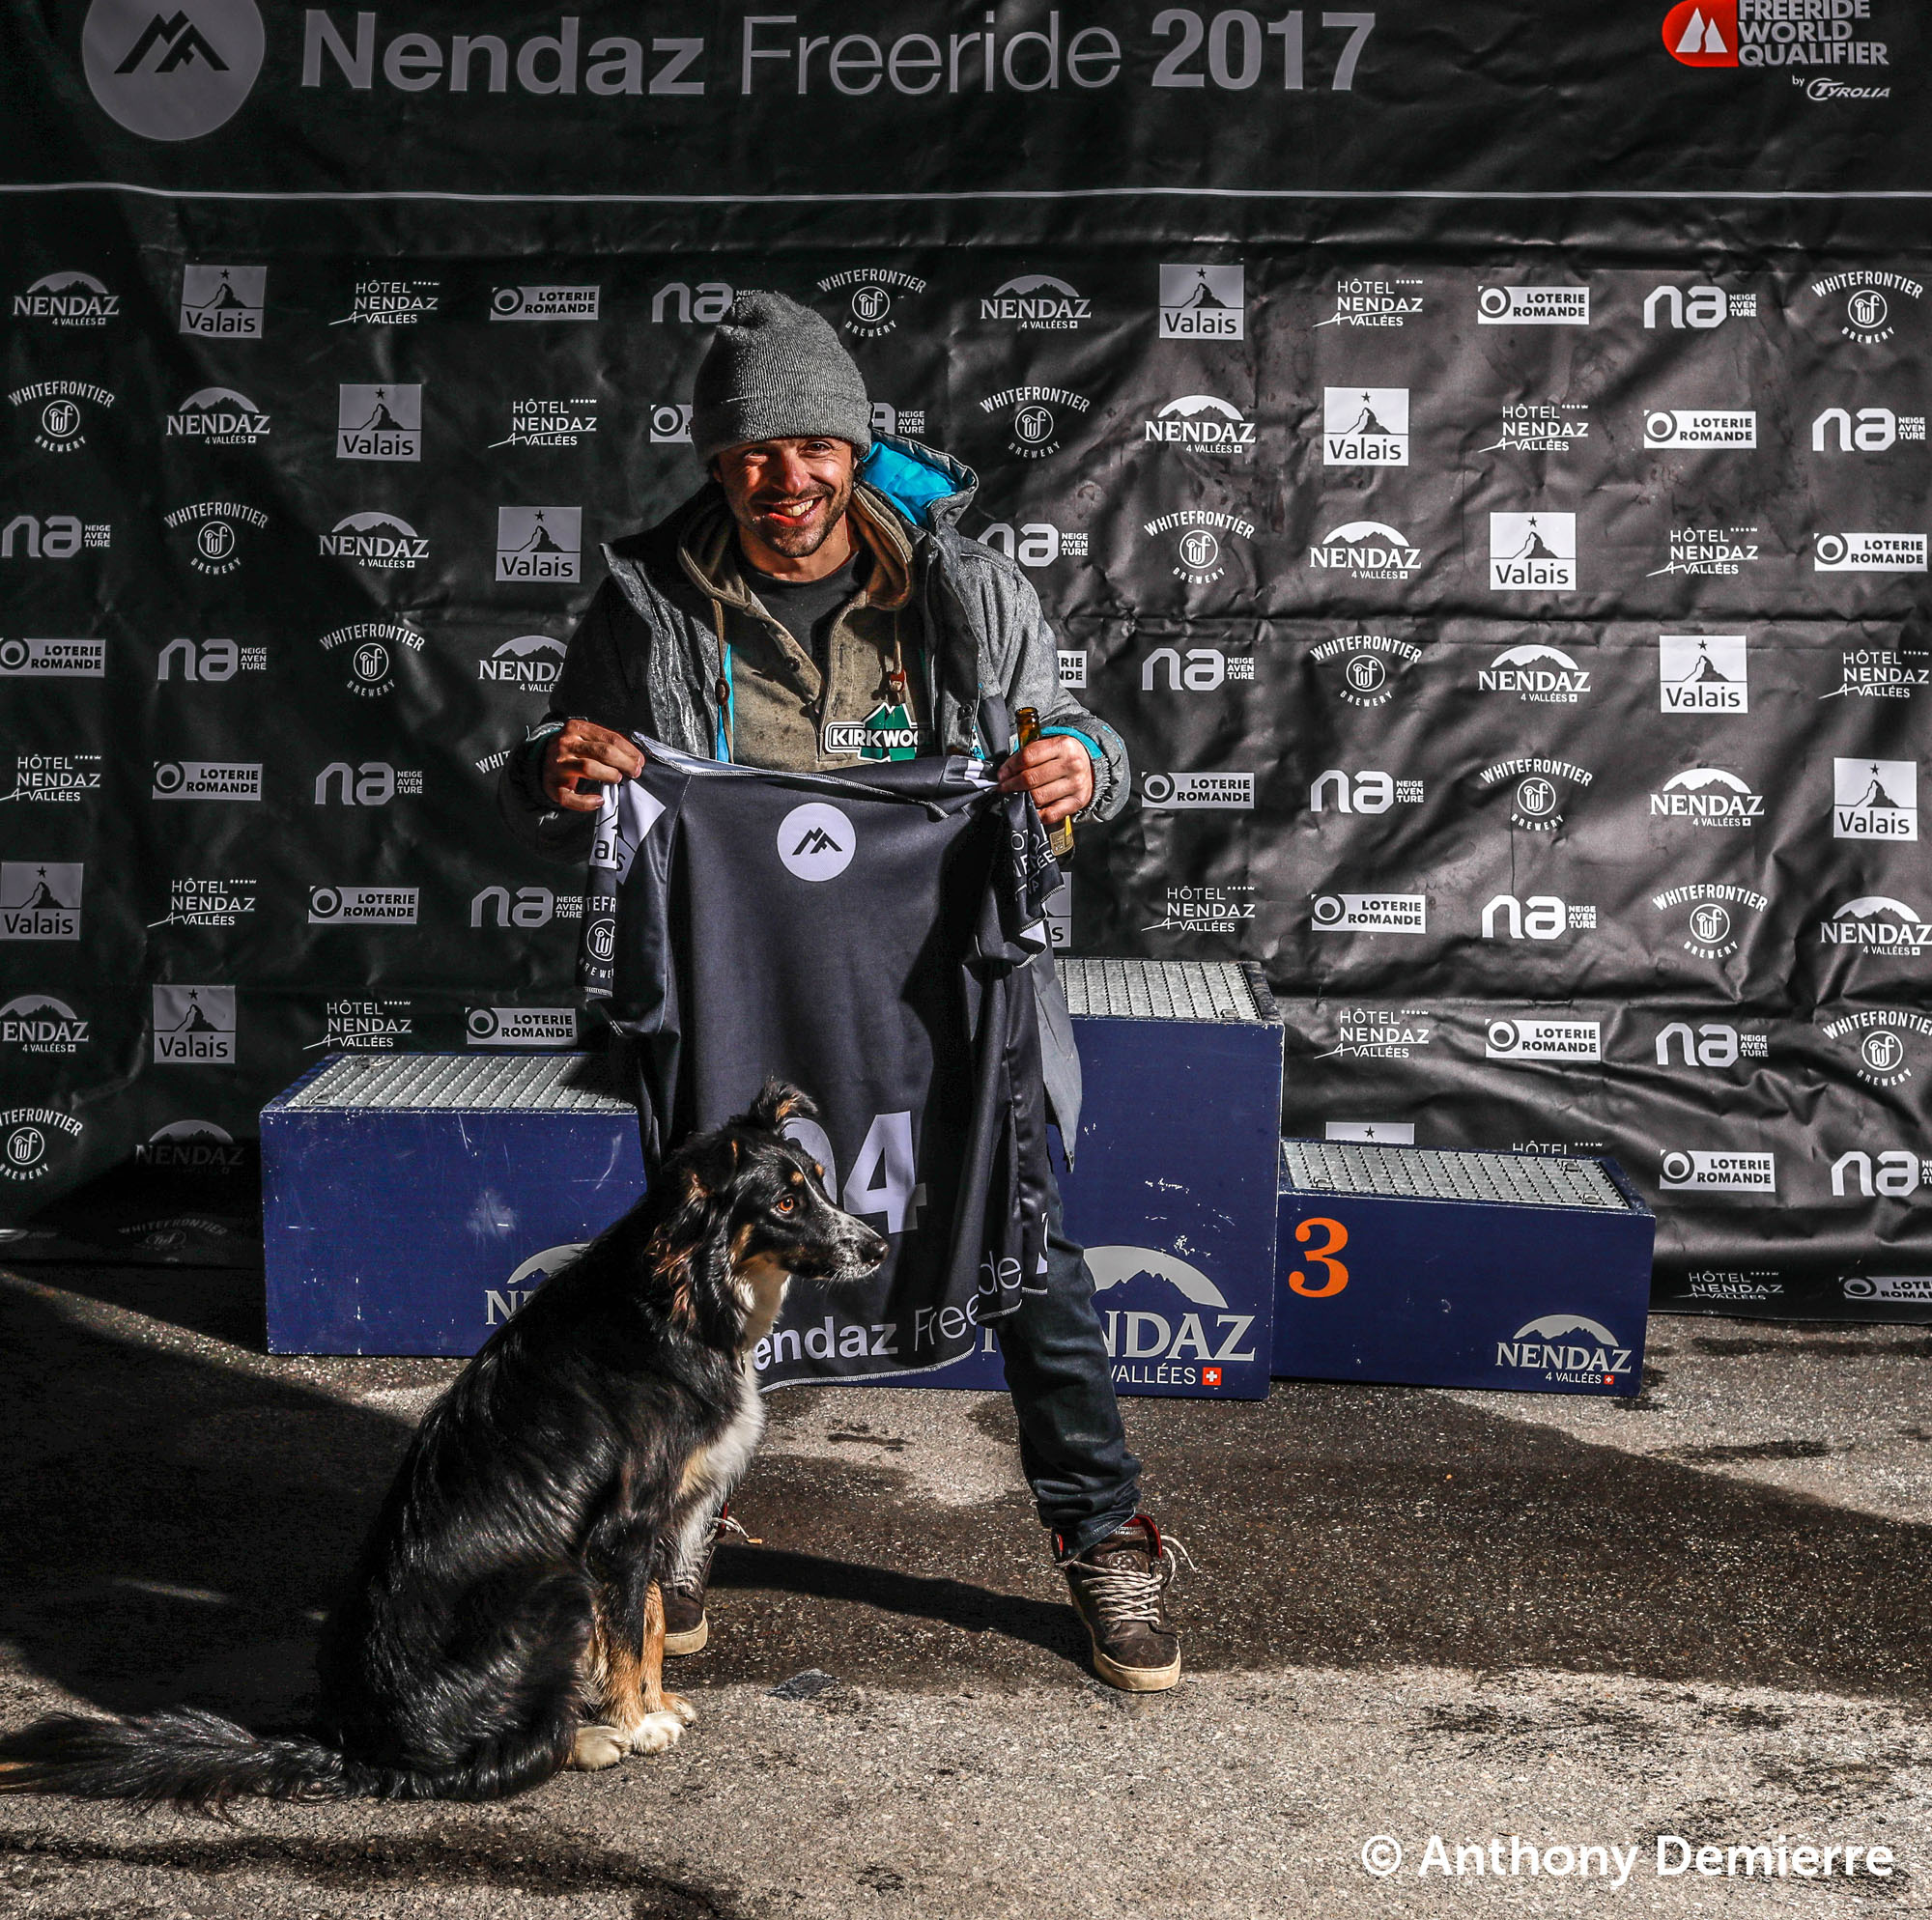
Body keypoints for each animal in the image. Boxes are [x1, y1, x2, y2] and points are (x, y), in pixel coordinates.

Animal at [0, 1080, 885, 1811]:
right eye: (784, 1203)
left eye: (819, 1182)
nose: (876, 1248)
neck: (680, 1303)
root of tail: (360, 1754)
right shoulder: (622, 1531)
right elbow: (633, 1629)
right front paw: (639, 1722)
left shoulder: (658, 1522)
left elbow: (655, 1621)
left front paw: (656, 1701)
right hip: (555, 1588)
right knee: (491, 1764)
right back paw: (586, 1738)